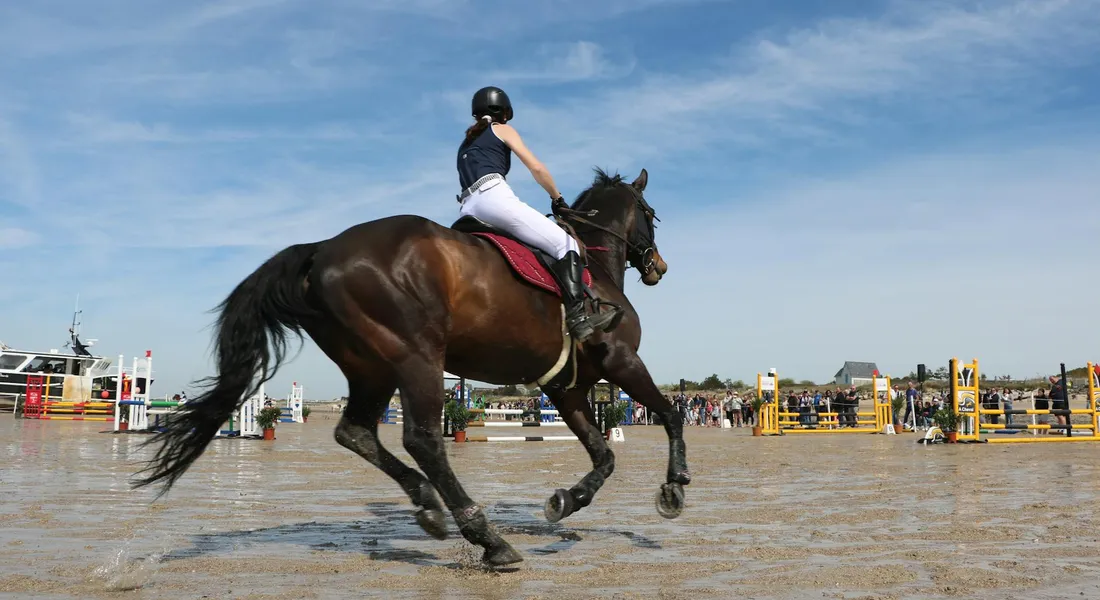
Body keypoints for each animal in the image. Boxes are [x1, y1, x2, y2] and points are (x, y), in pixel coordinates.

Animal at [132, 167, 690, 567]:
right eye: (652, 214)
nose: (660, 267)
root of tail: (323, 250)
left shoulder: (565, 389)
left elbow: (604, 454)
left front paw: (567, 499)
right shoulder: (621, 361)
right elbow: (668, 414)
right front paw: (674, 486)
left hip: (373, 368)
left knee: (356, 432)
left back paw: (429, 505)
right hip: (418, 357)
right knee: (422, 439)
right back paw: (487, 538)